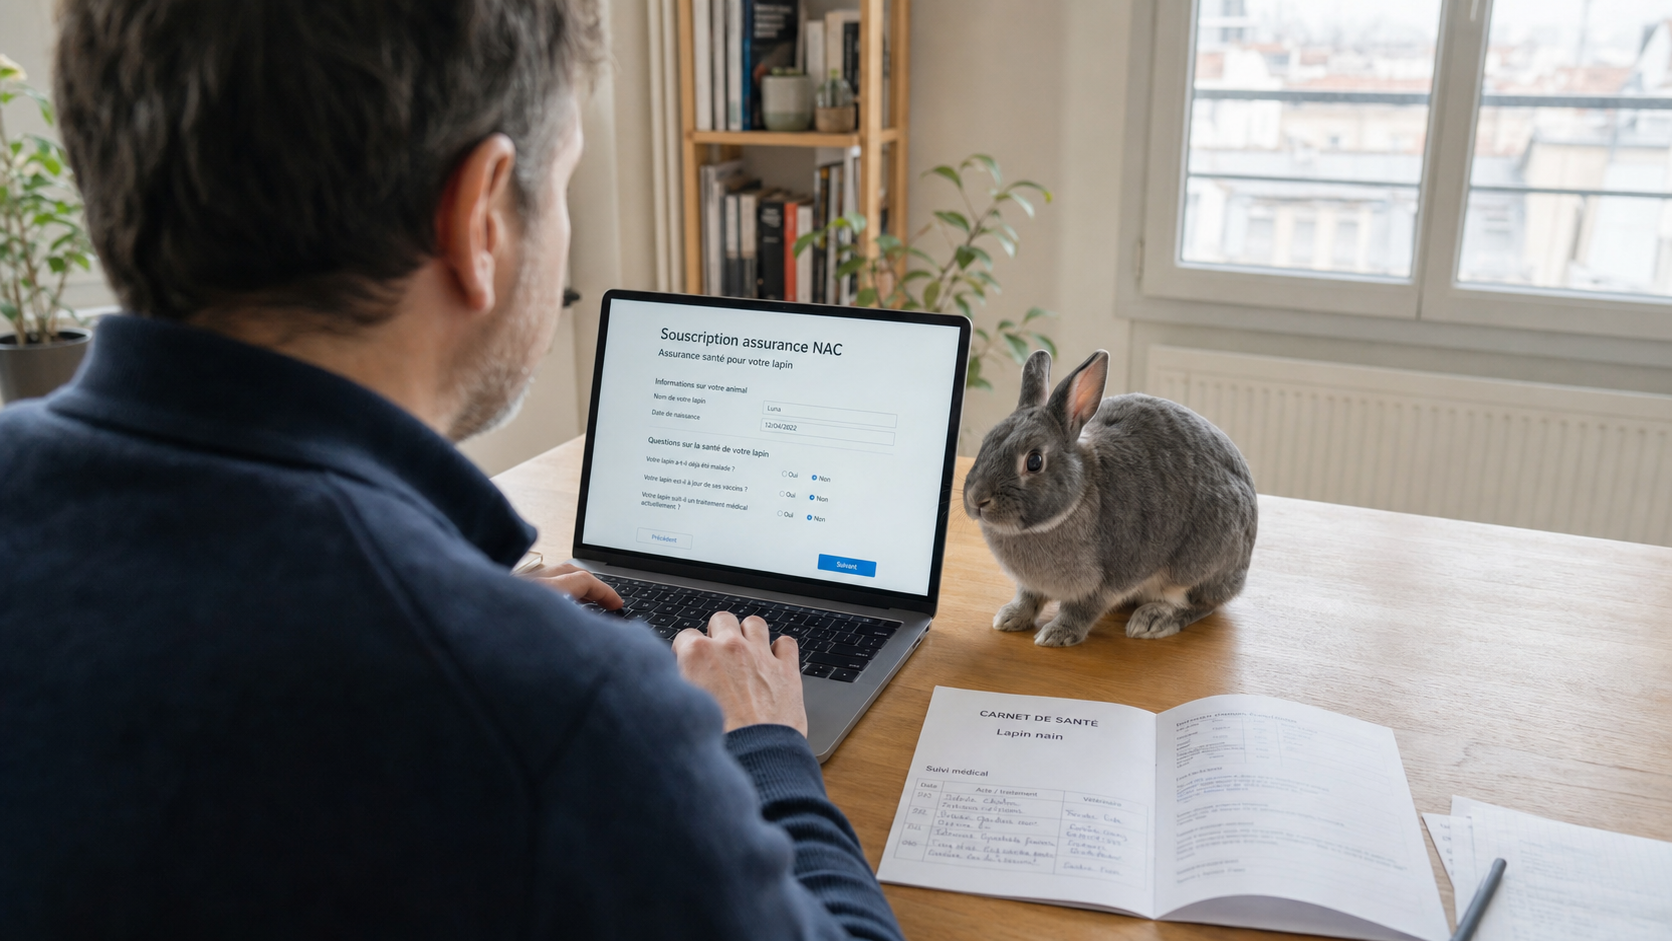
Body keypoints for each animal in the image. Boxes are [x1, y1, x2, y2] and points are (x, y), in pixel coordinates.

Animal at [963, 349, 1257, 647]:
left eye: (1034, 461)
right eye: (986, 443)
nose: (977, 499)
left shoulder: (1107, 580)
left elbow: (1082, 610)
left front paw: (1057, 634)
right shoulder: (1031, 585)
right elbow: (1027, 598)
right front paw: (1009, 618)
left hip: (1197, 564)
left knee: (1200, 603)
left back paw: (1152, 620)